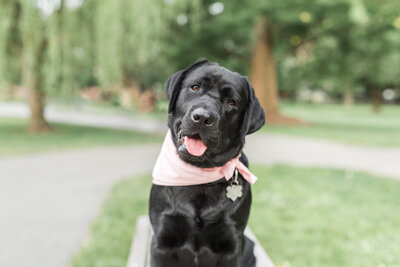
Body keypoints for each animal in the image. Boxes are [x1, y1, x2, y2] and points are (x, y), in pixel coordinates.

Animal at [148, 60, 264, 267]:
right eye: (195, 87)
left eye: (231, 102)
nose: (202, 117)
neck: (199, 177)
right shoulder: (161, 240)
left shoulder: (231, 244)